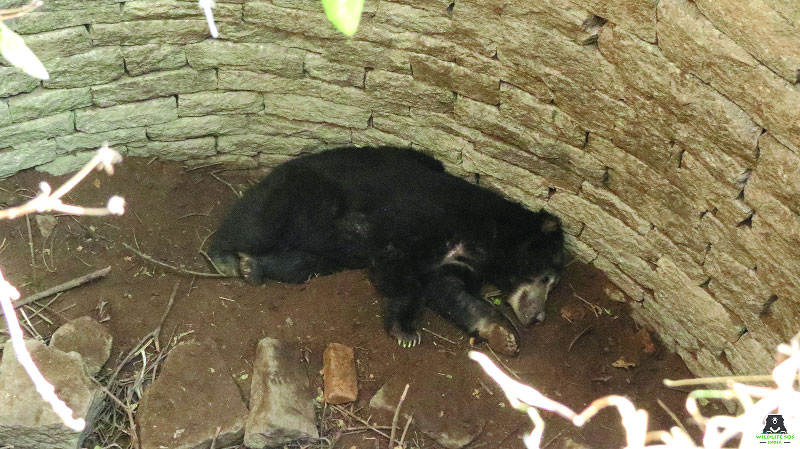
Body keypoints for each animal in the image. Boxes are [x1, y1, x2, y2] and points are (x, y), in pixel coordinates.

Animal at [209, 146, 564, 354]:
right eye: (546, 277)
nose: (539, 317)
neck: (486, 238)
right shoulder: (424, 220)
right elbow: (400, 268)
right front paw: (406, 331)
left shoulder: (460, 262)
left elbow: (450, 290)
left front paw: (503, 335)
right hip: (303, 192)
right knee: (258, 222)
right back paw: (224, 256)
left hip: (326, 248)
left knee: (303, 263)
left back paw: (253, 267)